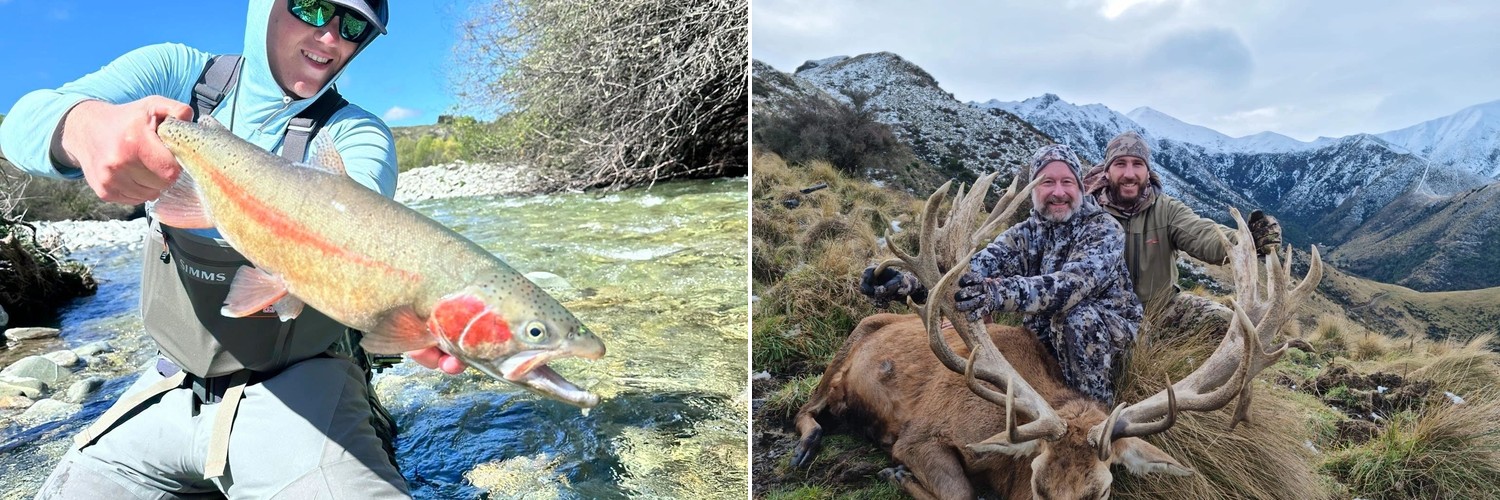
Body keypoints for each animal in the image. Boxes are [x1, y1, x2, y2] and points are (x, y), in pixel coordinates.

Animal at [789, 172, 1323, 499]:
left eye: (1102, 491)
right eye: (1037, 483)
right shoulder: (919, 436)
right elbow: (959, 491)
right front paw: (896, 473)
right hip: (844, 354)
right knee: (808, 407)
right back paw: (807, 445)